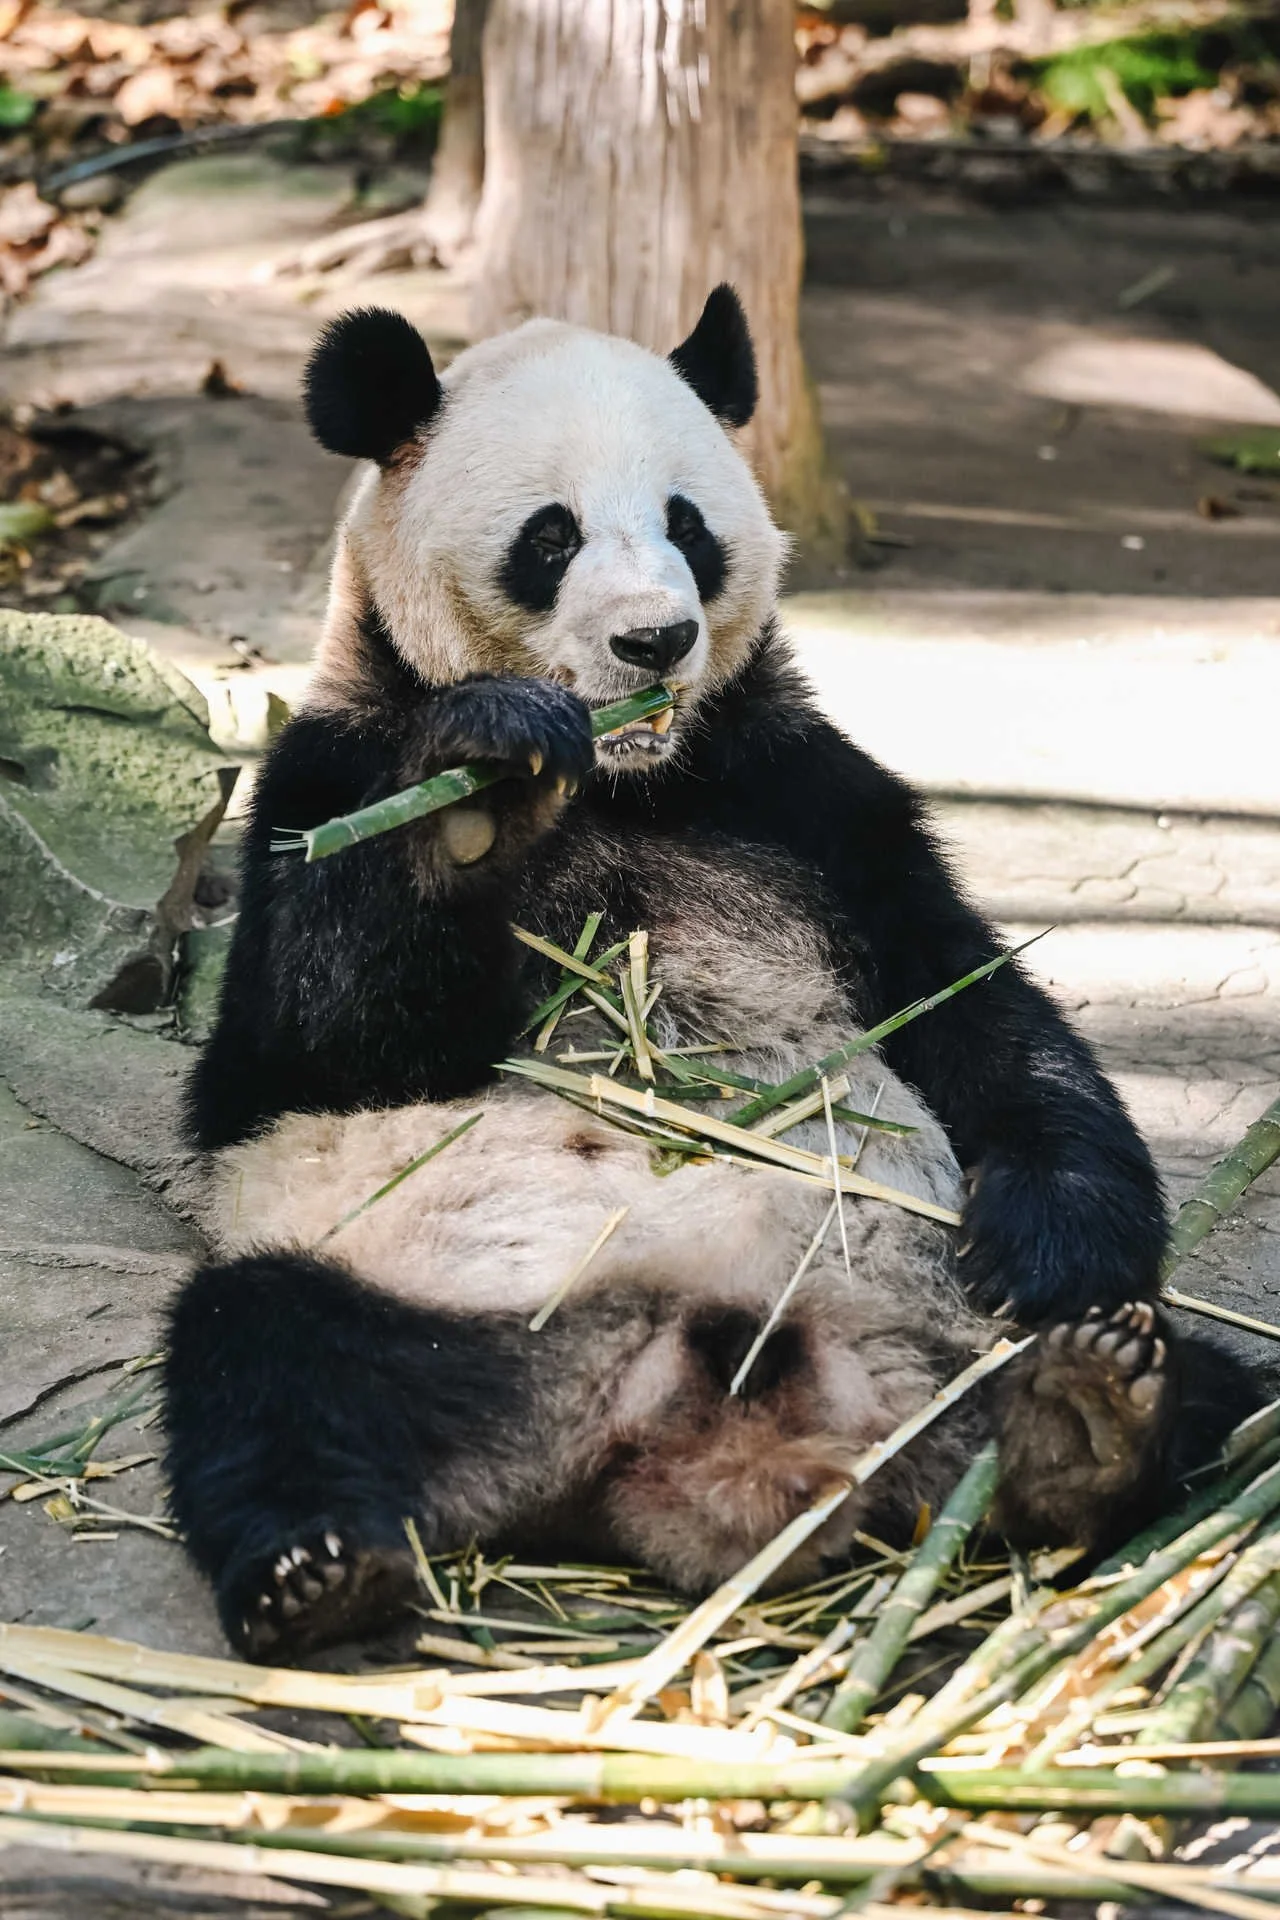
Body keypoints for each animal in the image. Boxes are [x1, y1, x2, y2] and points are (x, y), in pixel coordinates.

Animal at [164, 288, 1255, 1661]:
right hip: (415, 1298)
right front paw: (476, 797)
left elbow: (975, 1013)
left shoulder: (807, 798)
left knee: (1220, 1392)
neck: (630, 782)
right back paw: (314, 1572)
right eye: (551, 536)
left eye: (688, 523)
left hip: (928, 1332)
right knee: (262, 1362)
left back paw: (1088, 1416)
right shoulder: (323, 778)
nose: (656, 638)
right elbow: (321, 1039)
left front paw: (1049, 1250)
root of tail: (718, 1439)